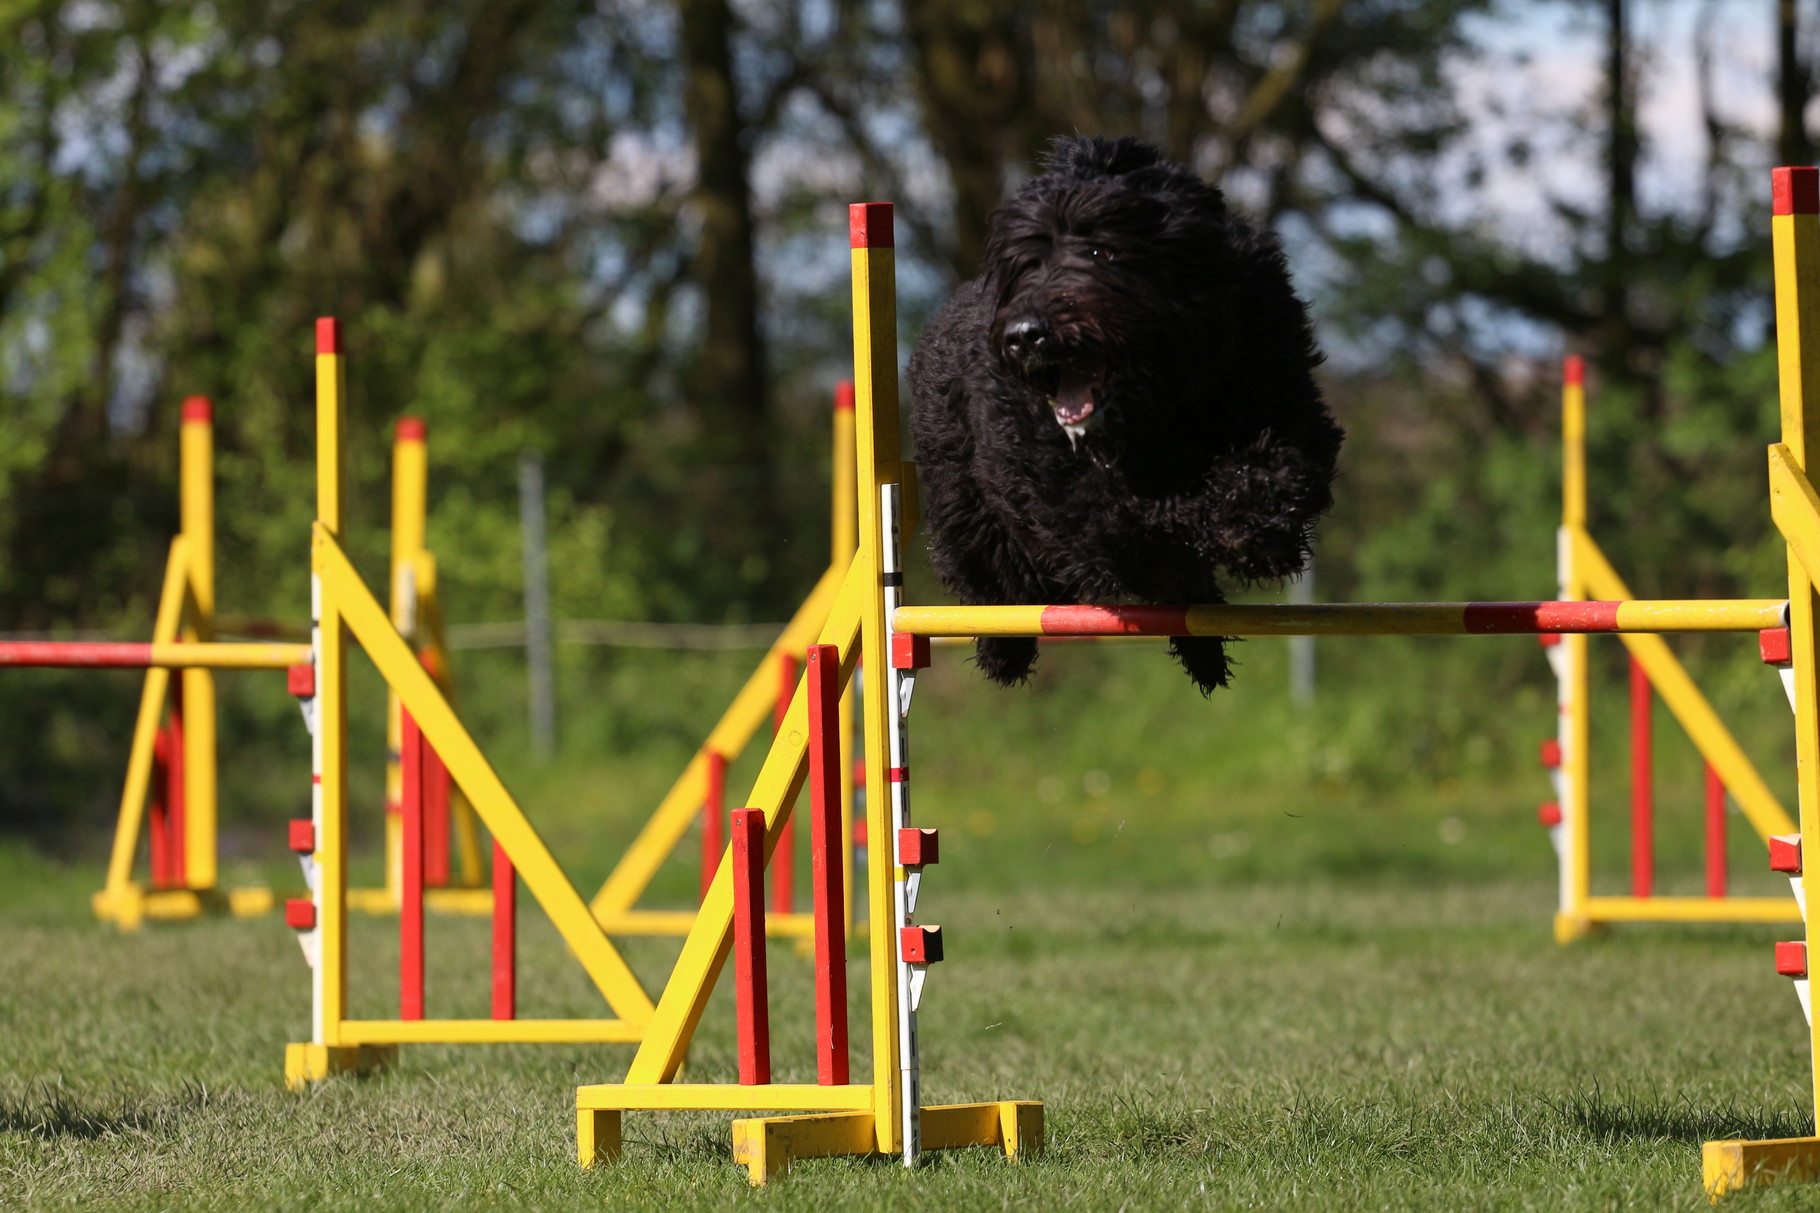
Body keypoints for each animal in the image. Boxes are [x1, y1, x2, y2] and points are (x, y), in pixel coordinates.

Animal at [906, 134, 1346, 688]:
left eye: (1102, 249)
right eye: (1025, 263)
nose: (1026, 334)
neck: (1170, 403)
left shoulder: (1282, 400)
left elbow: (1281, 468)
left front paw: (1257, 521)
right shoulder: (1078, 499)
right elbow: (1154, 519)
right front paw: (1223, 519)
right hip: (963, 499)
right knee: (991, 572)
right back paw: (1004, 649)